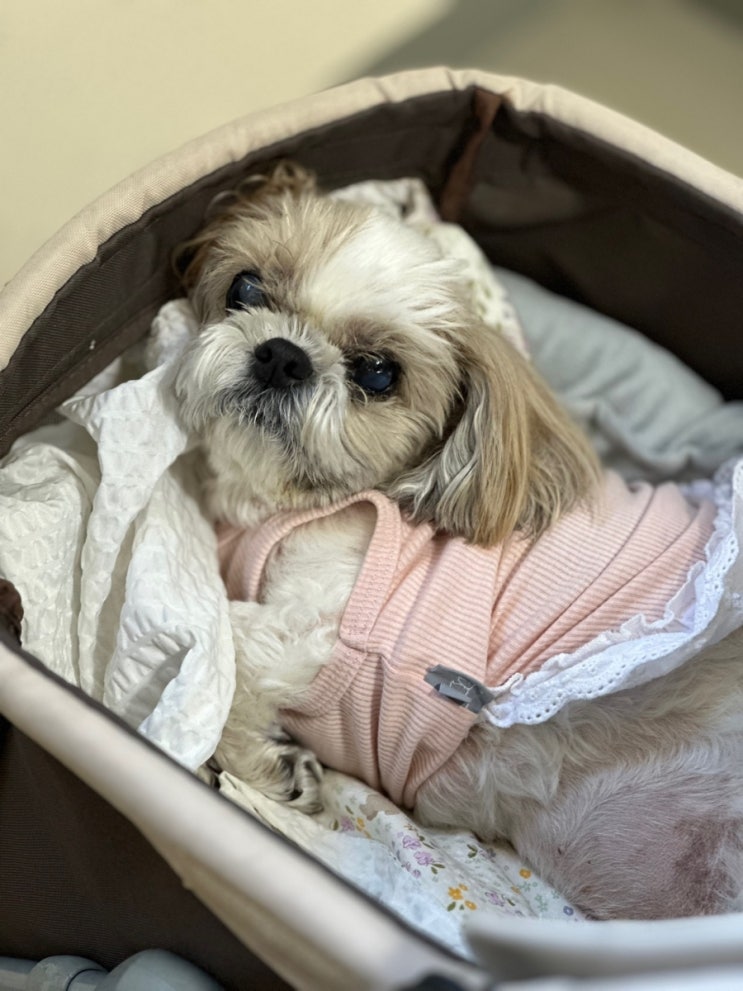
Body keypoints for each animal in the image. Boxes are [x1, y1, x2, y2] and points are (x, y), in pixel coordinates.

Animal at [174, 163, 743, 921]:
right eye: (244, 287)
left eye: (377, 372)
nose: (282, 355)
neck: (275, 504)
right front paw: (276, 769)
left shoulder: (331, 630)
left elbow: (226, 644)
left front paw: (262, 763)